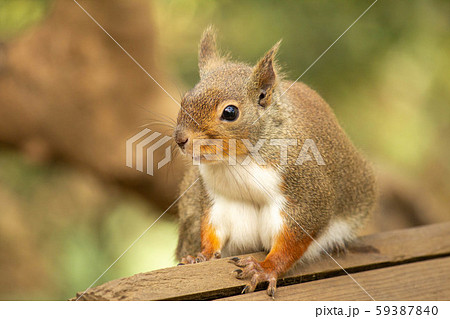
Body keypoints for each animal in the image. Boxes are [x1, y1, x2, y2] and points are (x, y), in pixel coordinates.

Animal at [172, 26, 376, 298]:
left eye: (230, 112)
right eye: (185, 100)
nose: (180, 139)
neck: (237, 161)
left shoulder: (306, 190)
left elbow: (294, 238)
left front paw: (264, 268)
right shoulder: (218, 200)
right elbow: (212, 228)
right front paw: (200, 256)